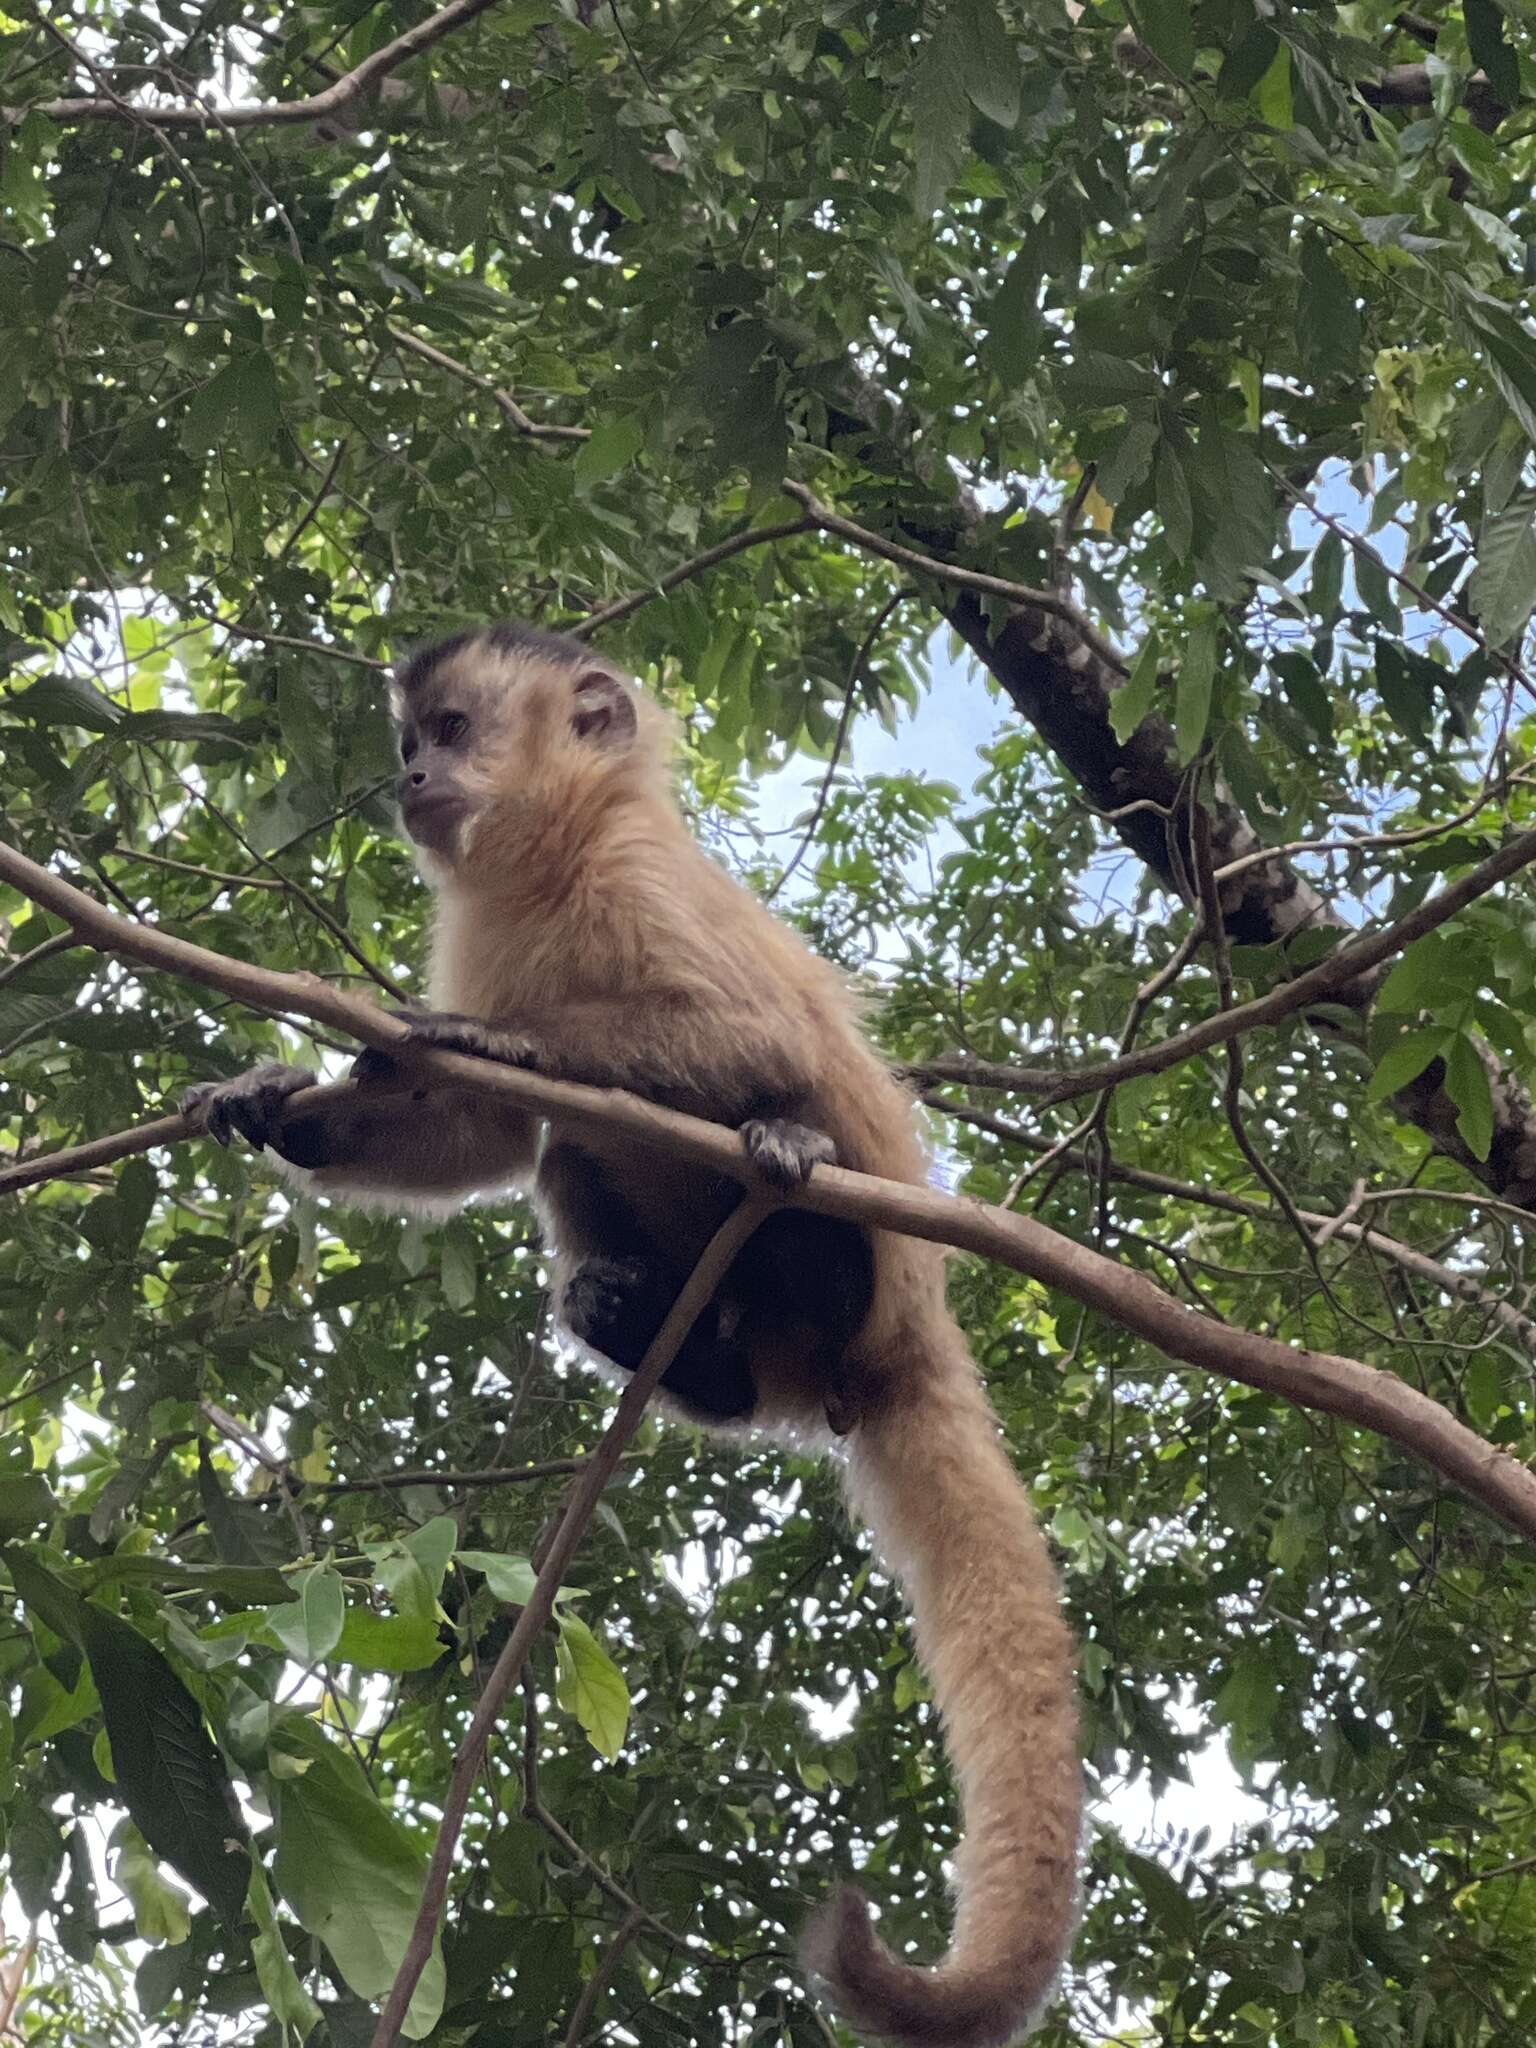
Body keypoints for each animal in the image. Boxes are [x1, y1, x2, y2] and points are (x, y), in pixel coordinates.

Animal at [183, 622, 1081, 2048]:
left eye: (451, 727)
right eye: (411, 740)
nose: (414, 776)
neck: (554, 860)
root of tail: (903, 1346)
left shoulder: (642, 875)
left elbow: (745, 1035)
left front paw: (496, 1035)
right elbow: (486, 1134)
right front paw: (275, 1101)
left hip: (864, 1290)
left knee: (769, 1116)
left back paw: (792, 1176)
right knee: (574, 1159)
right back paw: (672, 1348)